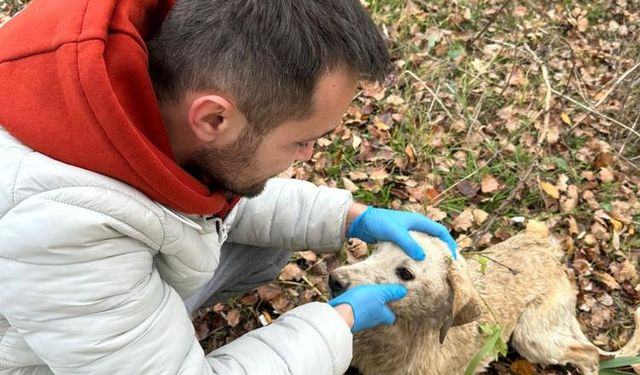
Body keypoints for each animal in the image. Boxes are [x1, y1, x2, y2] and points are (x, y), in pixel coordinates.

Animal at [330, 232, 640, 375]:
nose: (335, 280)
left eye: (406, 273)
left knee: (588, 354)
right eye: (377, 249)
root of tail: (553, 255)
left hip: (533, 338)